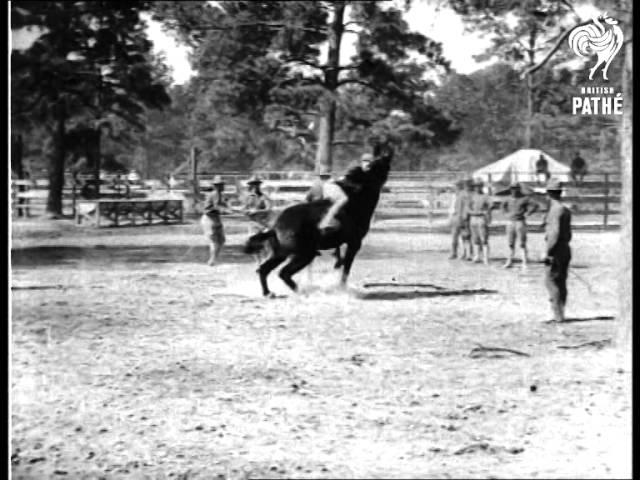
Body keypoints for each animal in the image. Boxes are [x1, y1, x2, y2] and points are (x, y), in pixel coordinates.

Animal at [245, 148, 392, 296]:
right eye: (378, 162)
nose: (387, 155)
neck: (356, 199)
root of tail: (275, 226)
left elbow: (341, 261)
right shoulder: (354, 243)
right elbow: (346, 268)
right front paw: (341, 287)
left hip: (281, 254)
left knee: (263, 270)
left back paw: (268, 293)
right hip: (304, 254)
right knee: (283, 273)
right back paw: (303, 291)